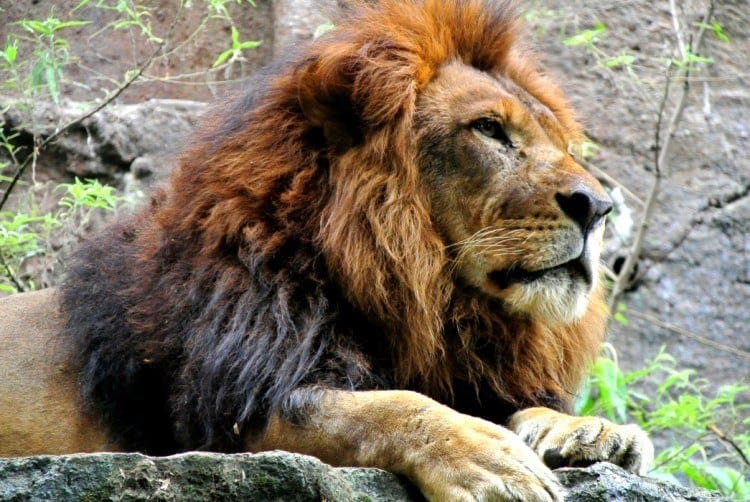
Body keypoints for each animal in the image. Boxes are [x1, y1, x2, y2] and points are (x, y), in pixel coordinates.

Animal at [0, 1, 653, 500]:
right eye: (490, 129)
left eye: (564, 143)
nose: (598, 207)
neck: (425, 299)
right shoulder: (230, 411)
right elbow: (388, 409)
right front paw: (491, 460)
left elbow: (499, 406)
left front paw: (591, 431)